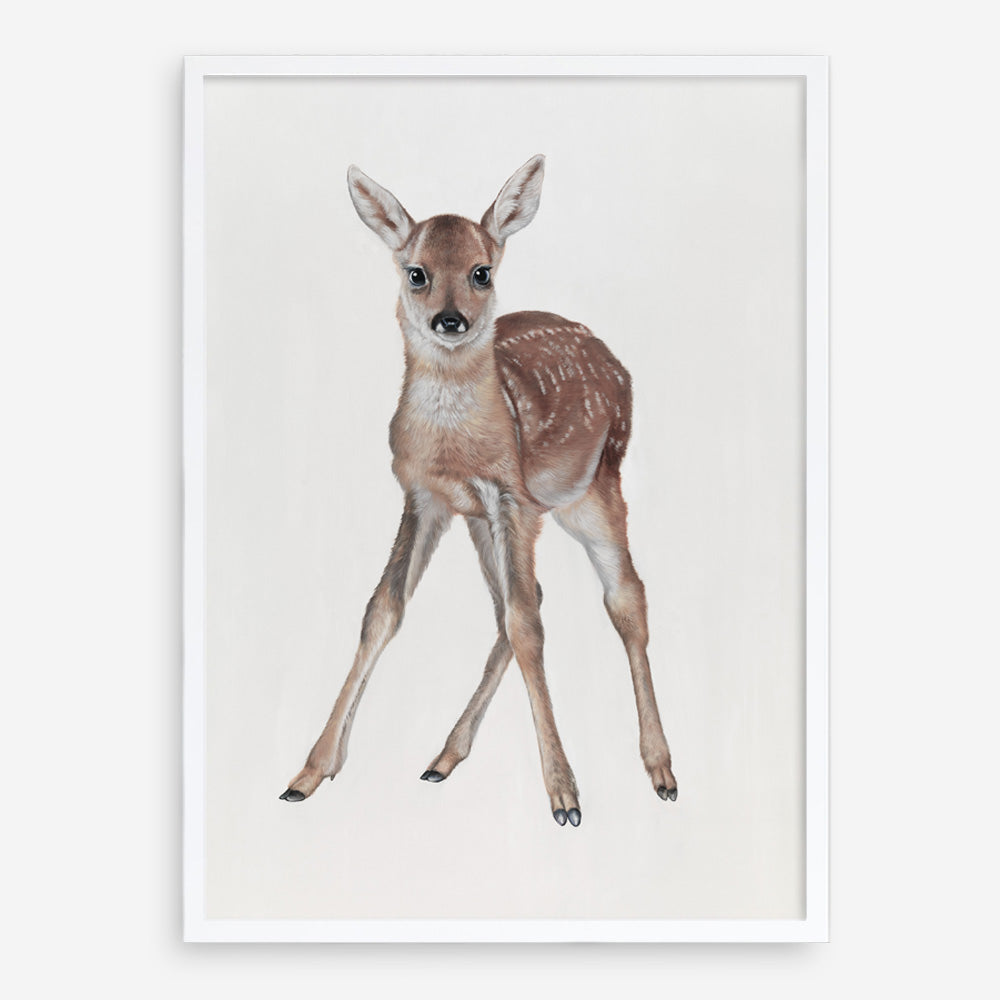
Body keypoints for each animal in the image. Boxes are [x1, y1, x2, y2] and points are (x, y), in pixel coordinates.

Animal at [279, 155, 677, 826]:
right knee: (522, 600)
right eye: (416, 273)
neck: (456, 444)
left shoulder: (510, 496)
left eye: (481, 272)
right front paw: (309, 772)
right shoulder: (426, 497)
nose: (451, 320)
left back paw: (661, 770)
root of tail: (617, 365)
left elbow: (527, 626)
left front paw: (565, 796)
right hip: (486, 521)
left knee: (624, 598)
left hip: (594, 490)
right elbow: (383, 610)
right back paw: (443, 758)